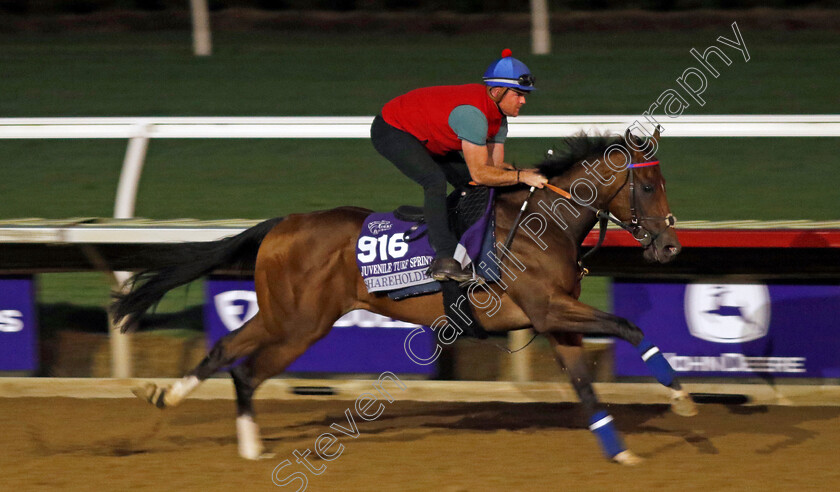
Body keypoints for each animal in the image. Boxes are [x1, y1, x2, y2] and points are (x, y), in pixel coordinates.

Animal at [115, 128, 700, 466]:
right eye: (649, 186)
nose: (670, 246)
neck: (543, 224)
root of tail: (284, 223)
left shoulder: (556, 320)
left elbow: (585, 385)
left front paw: (621, 454)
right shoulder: (547, 307)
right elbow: (630, 327)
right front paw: (682, 399)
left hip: (286, 314)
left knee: (227, 353)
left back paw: (183, 406)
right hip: (300, 322)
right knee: (247, 368)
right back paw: (246, 442)